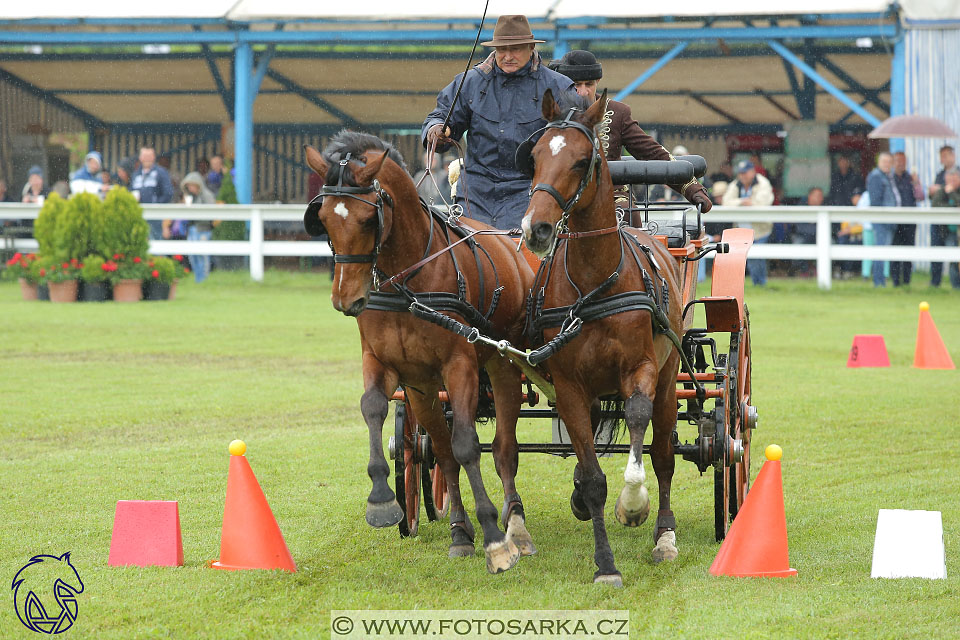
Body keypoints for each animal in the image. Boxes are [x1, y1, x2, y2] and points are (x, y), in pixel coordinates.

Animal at [304, 132, 536, 572]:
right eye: (322, 218)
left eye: (368, 219)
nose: (346, 299)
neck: (407, 282)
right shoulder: (397, 370)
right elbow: (381, 413)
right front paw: (384, 501)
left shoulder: (459, 366)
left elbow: (467, 445)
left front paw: (495, 539)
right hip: (427, 389)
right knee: (443, 451)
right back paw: (461, 528)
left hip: (502, 365)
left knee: (504, 449)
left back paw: (516, 525)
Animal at [520, 89, 688, 584]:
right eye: (534, 156)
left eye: (581, 160)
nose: (536, 228)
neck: (595, 283)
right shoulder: (571, 386)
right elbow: (593, 474)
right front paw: (605, 564)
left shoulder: (641, 369)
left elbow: (637, 420)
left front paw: (633, 505)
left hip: (670, 378)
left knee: (663, 453)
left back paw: (665, 535)